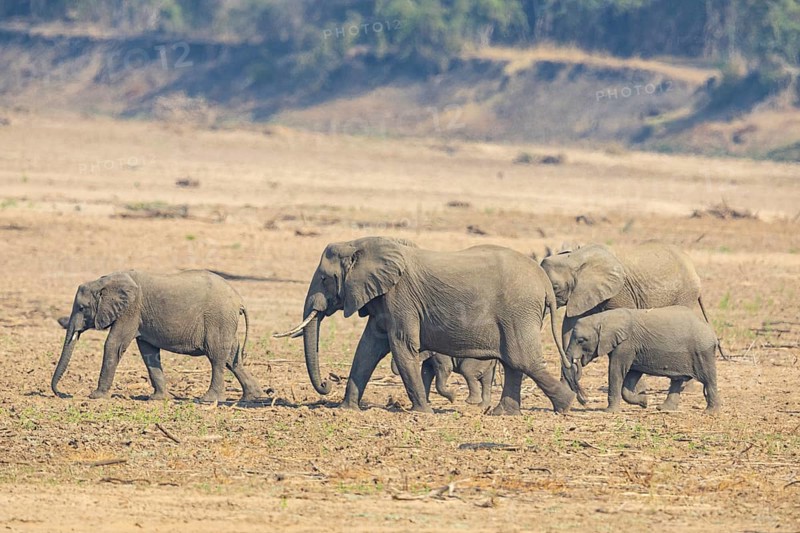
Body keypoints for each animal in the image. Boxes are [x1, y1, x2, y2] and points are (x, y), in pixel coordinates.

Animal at [52, 270, 263, 402]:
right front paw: (157, 399)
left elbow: (114, 344)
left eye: (82, 308)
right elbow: (148, 352)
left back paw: (209, 399)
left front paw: (96, 396)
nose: (64, 394)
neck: (105, 280)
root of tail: (239, 300)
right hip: (225, 322)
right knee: (232, 359)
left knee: (217, 357)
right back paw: (252, 397)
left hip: (218, 318)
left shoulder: (131, 310)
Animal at [274, 236, 575, 415]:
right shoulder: (383, 301)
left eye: (325, 279)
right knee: (514, 362)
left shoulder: (401, 297)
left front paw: (422, 412)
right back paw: (503, 413)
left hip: (518, 311)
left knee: (522, 359)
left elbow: (401, 346)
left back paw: (566, 404)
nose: (326, 384)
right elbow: (367, 349)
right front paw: (347, 409)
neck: (361, 244)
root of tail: (544, 282)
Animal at [566, 306, 720, 413]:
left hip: (702, 352)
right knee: (678, 380)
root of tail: (712, 332)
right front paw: (644, 402)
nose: (583, 400)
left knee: (709, 379)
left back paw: (710, 412)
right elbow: (632, 375)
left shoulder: (626, 344)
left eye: (581, 340)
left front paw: (609, 412)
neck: (602, 318)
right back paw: (663, 408)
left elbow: (616, 371)